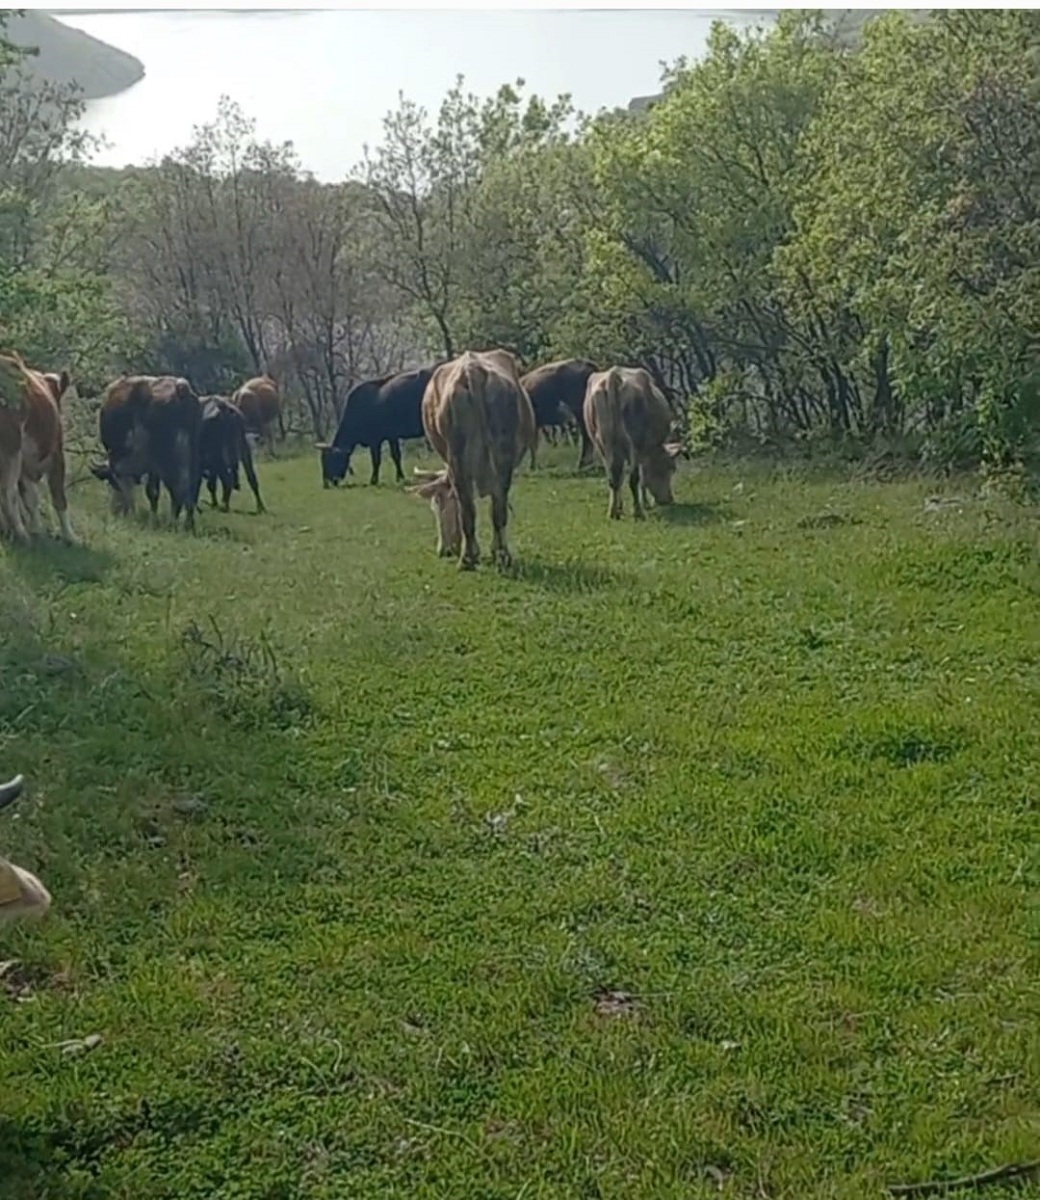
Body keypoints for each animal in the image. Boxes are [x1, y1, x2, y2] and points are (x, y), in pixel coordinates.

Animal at [0, 352, 75, 547]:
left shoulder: (26, 468)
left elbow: (31, 498)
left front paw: (38, 531)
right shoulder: (57, 455)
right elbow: (59, 497)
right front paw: (71, 537)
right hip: (11, 446)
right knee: (8, 492)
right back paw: (21, 535)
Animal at [91, 369, 203, 530]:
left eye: (111, 481)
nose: (115, 511)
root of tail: (181, 388)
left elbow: (143, 490)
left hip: (167, 457)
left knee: (178, 488)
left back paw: (172, 523)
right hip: (191, 453)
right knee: (191, 487)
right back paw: (187, 524)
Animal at [407, 348, 537, 571]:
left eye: (437, 505)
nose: (444, 551)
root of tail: (472, 370)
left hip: (460, 461)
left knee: (471, 508)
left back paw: (471, 557)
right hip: (499, 459)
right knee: (496, 509)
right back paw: (497, 555)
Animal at [585, 362, 681, 518]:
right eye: (671, 468)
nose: (668, 500)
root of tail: (614, 375)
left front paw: (620, 507)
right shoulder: (643, 452)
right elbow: (642, 478)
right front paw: (645, 504)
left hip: (603, 444)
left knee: (613, 477)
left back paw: (613, 512)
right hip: (634, 444)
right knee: (633, 478)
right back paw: (638, 512)